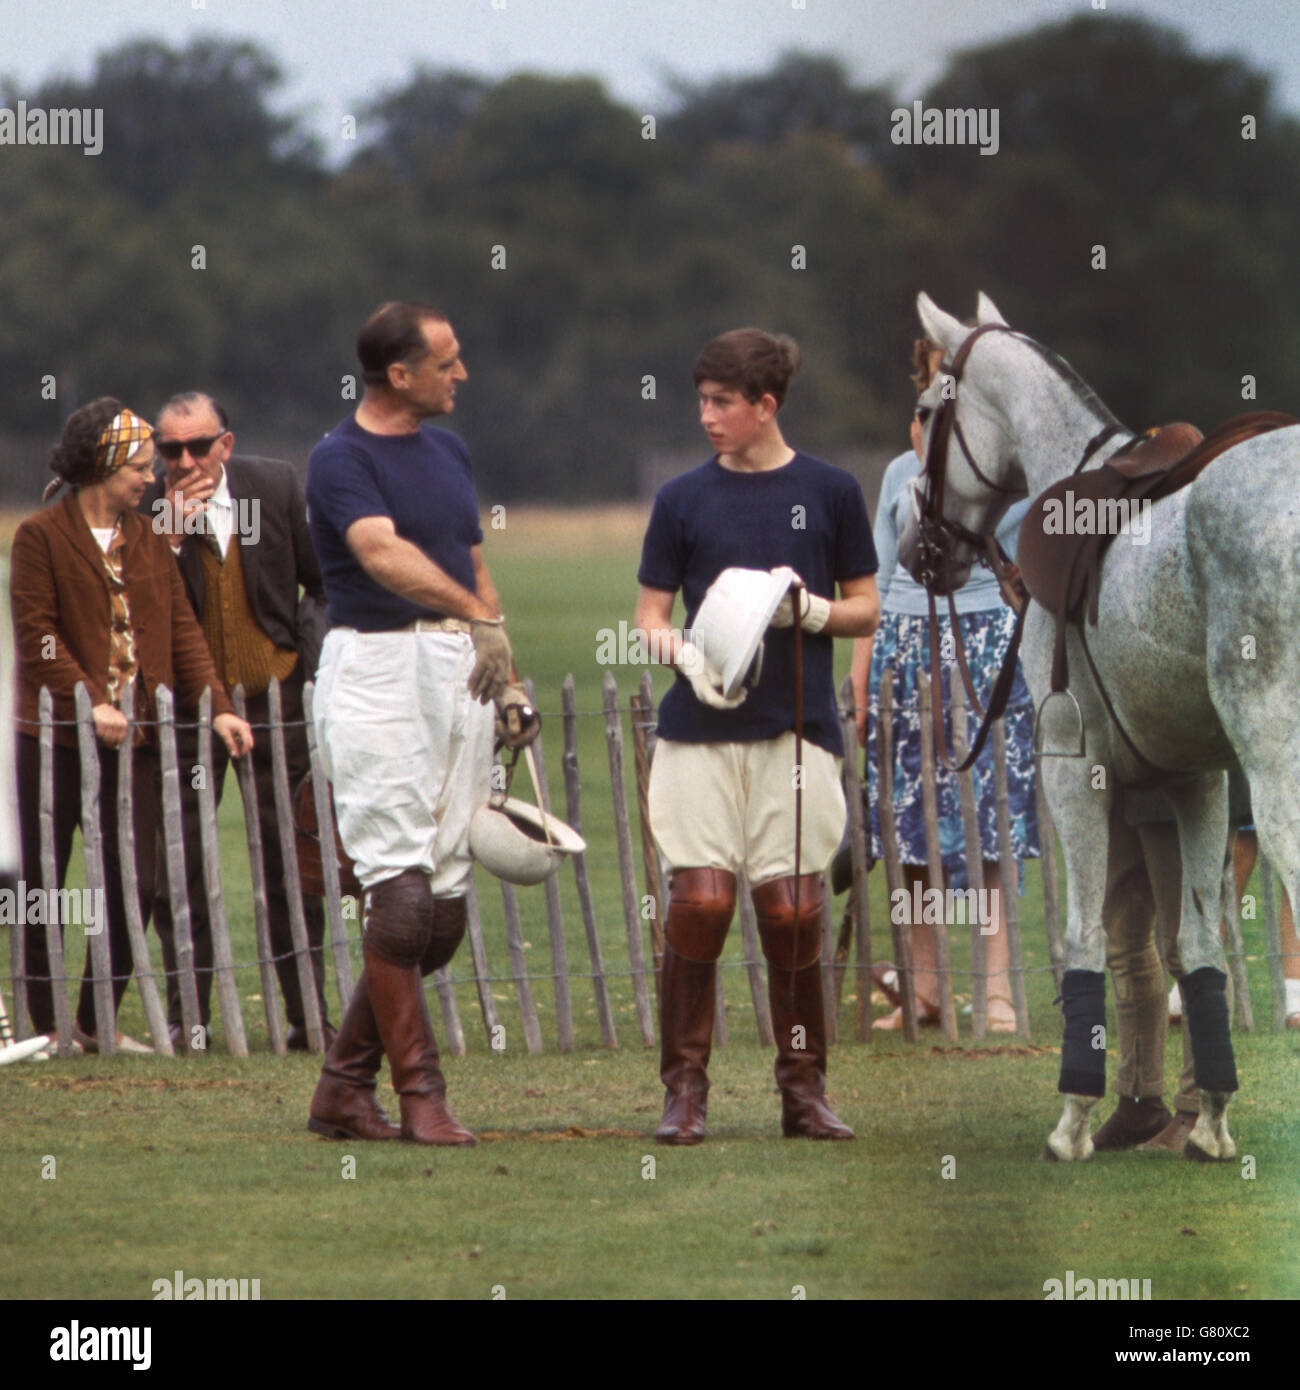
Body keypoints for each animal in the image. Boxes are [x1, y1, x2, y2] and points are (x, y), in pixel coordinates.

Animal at [906, 293, 1300, 1162]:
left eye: (924, 412)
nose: (923, 551)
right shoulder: (1196, 778)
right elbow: (1199, 949)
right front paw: (1210, 1120)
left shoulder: (1070, 764)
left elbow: (1085, 939)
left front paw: (1073, 1121)